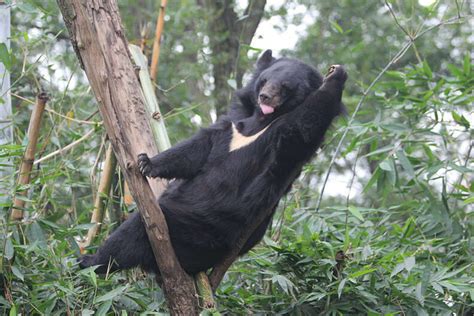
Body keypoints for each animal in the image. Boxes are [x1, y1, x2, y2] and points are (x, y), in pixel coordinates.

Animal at [79, 49, 346, 274]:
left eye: (285, 86)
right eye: (264, 80)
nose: (265, 97)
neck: (261, 120)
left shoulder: (284, 140)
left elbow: (305, 126)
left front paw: (337, 75)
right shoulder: (234, 122)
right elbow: (199, 148)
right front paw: (146, 162)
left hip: (198, 230)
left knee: (132, 232)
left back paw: (90, 262)